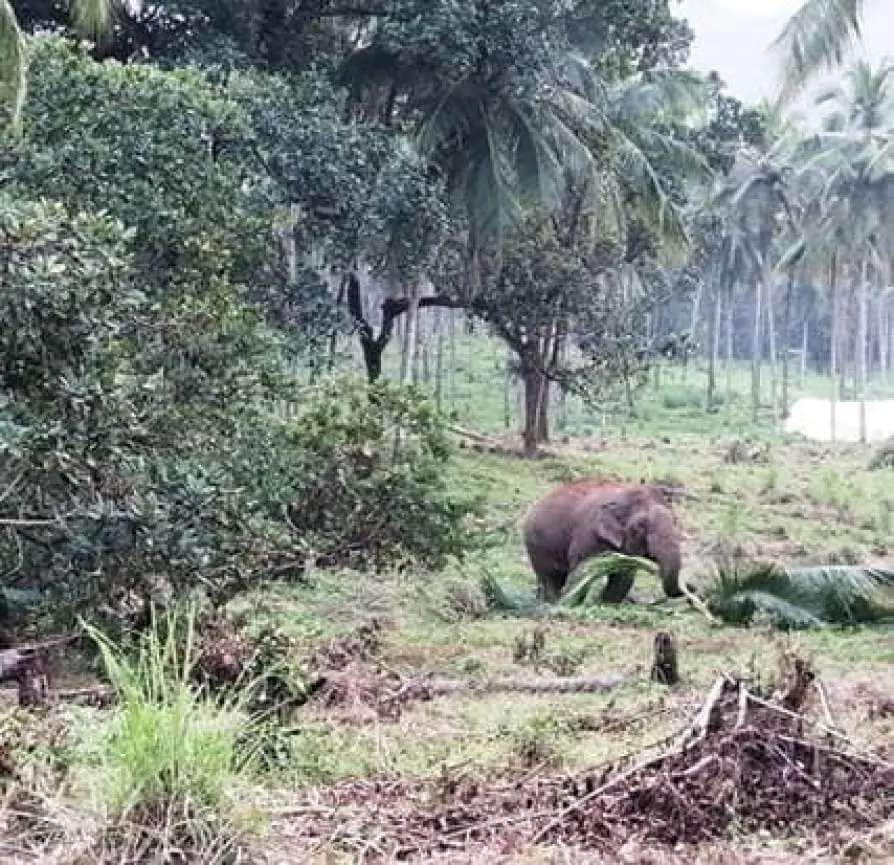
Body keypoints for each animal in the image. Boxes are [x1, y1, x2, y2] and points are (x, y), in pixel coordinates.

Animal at [521, 478, 683, 604]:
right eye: (641, 525)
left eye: (675, 521)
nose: (687, 588)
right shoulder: (588, 533)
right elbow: (582, 569)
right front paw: (571, 604)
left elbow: (624, 576)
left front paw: (604, 604)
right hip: (535, 545)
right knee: (549, 577)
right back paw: (552, 603)